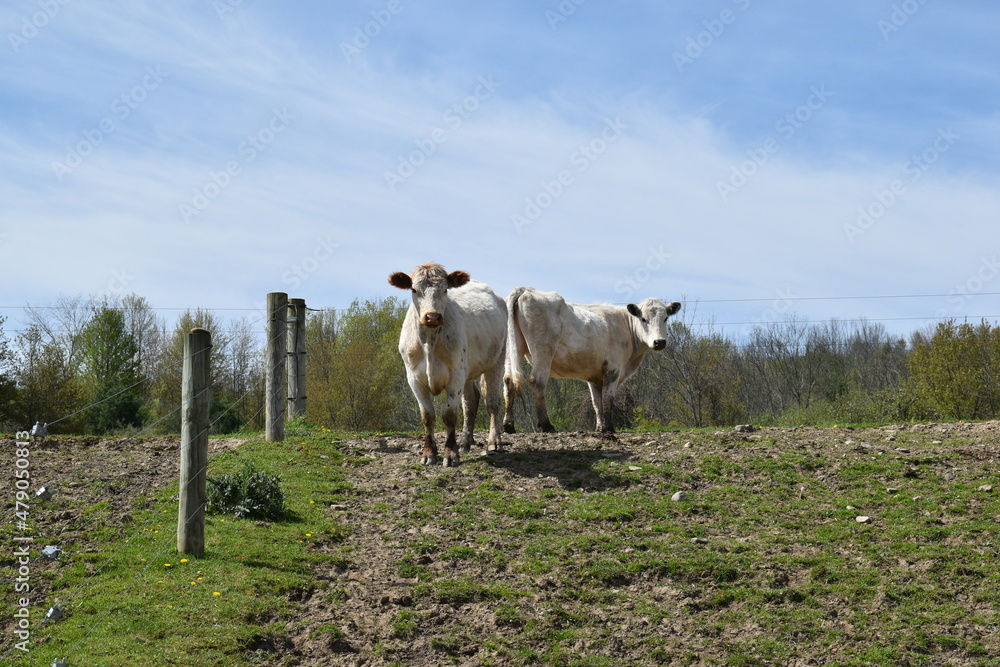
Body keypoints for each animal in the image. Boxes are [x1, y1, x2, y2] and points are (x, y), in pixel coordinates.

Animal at [389, 263, 507, 467]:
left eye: (445, 289)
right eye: (414, 289)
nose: (432, 317)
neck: (429, 341)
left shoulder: (455, 376)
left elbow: (449, 414)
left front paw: (451, 454)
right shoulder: (414, 378)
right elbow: (427, 415)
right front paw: (429, 453)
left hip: (497, 360)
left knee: (492, 401)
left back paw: (494, 442)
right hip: (467, 372)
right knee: (471, 402)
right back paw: (465, 442)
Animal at [503, 286, 681, 434]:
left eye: (666, 318)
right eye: (643, 319)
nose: (659, 342)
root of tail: (526, 289)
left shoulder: (594, 376)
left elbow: (597, 402)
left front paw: (600, 427)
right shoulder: (613, 368)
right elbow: (607, 398)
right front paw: (609, 428)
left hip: (512, 348)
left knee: (508, 380)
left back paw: (509, 426)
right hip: (543, 349)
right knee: (537, 382)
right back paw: (547, 425)